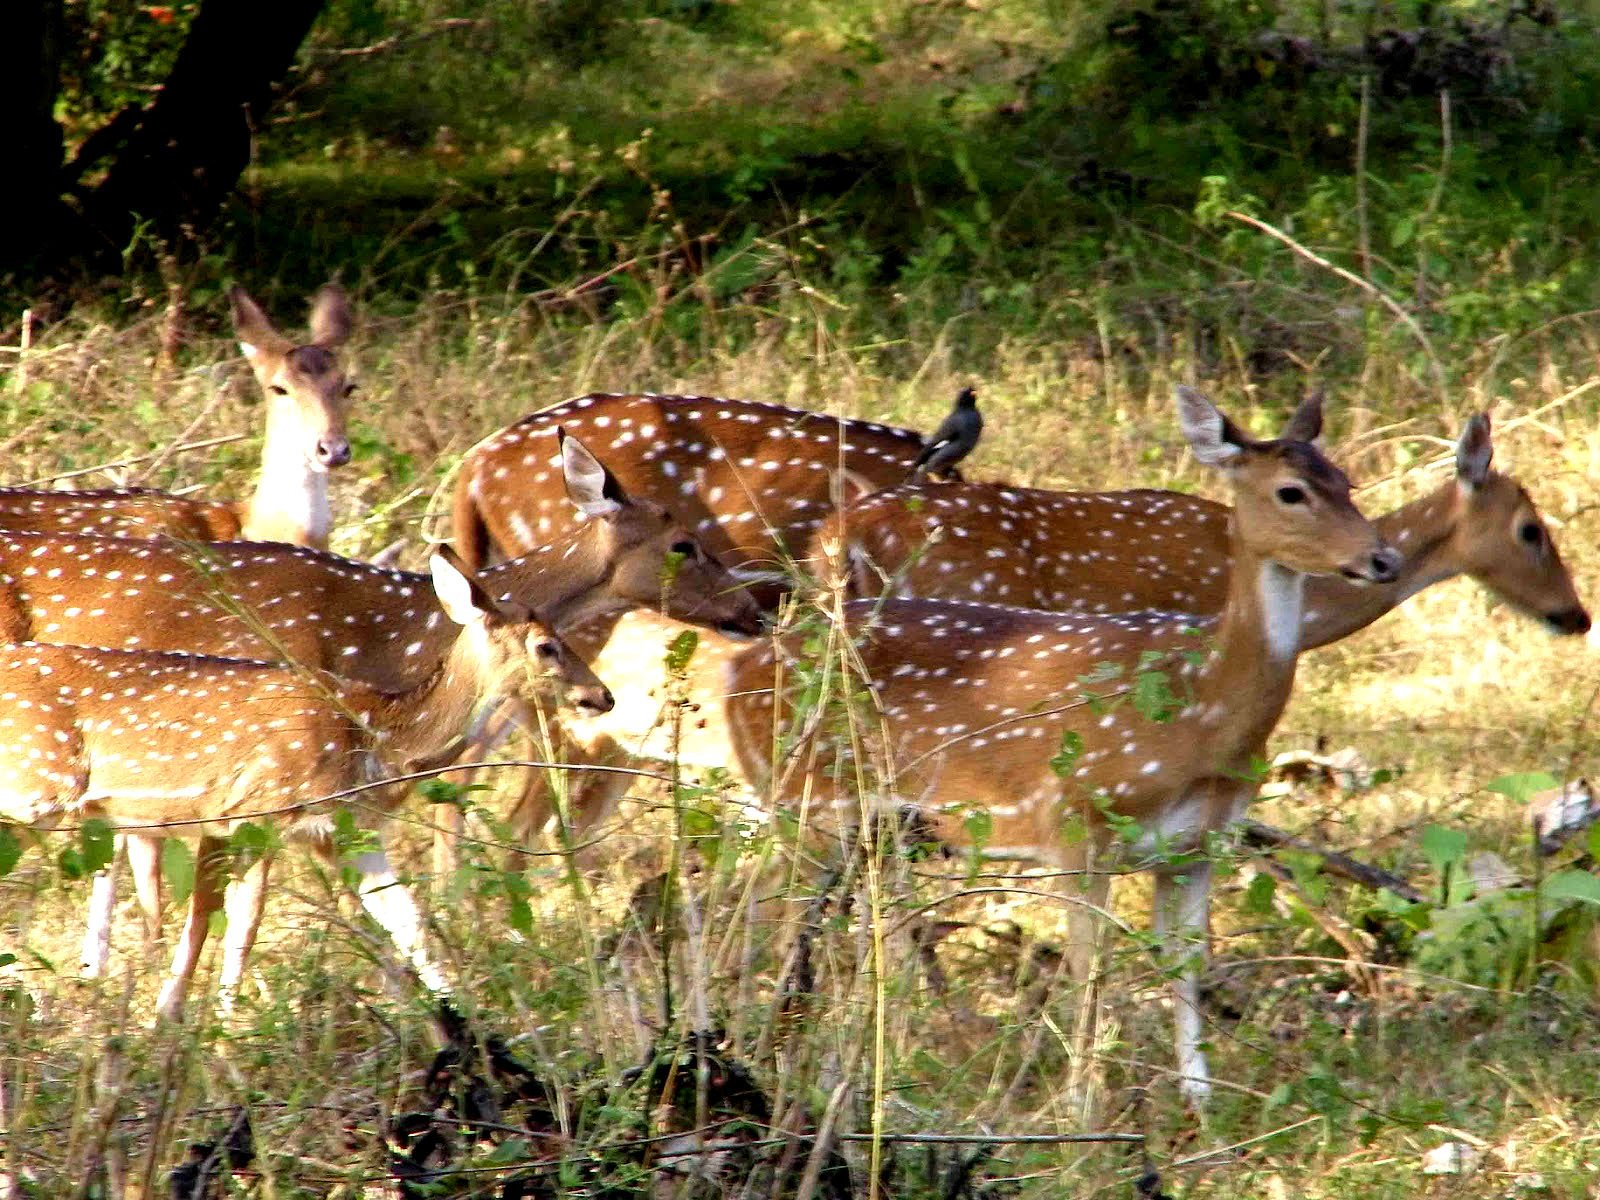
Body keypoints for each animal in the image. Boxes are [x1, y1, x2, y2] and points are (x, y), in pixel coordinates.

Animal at [0, 550, 611, 1017]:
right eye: (547, 646)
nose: (601, 696)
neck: (374, 733)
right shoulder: (257, 810)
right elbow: (240, 922)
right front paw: (216, 1025)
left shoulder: (344, 831)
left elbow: (407, 918)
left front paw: (477, 1023)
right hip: (36, 783)